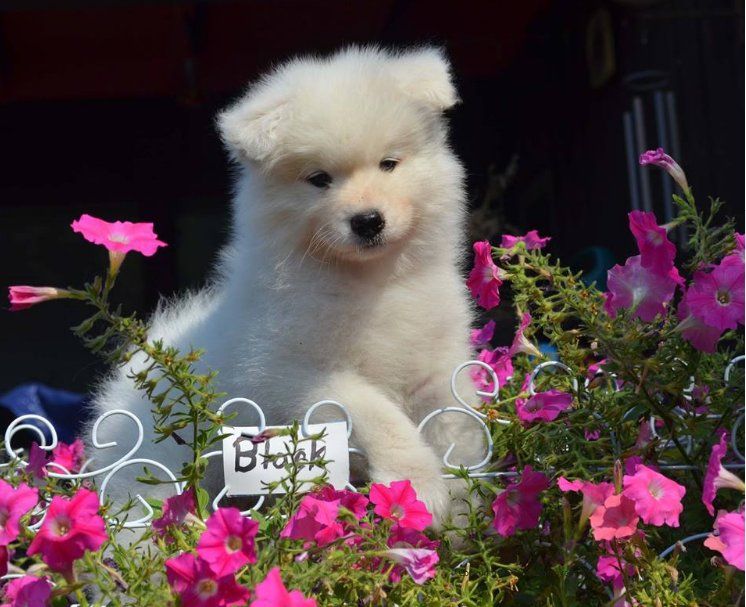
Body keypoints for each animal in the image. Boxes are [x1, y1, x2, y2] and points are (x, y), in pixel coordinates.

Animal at [88, 45, 476, 524]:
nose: (368, 220)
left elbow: (456, 425)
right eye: (319, 179)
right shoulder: (289, 372)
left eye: (389, 164)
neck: (370, 282)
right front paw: (417, 484)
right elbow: (375, 410)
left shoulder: (436, 365)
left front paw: (463, 509)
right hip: (155, 465)